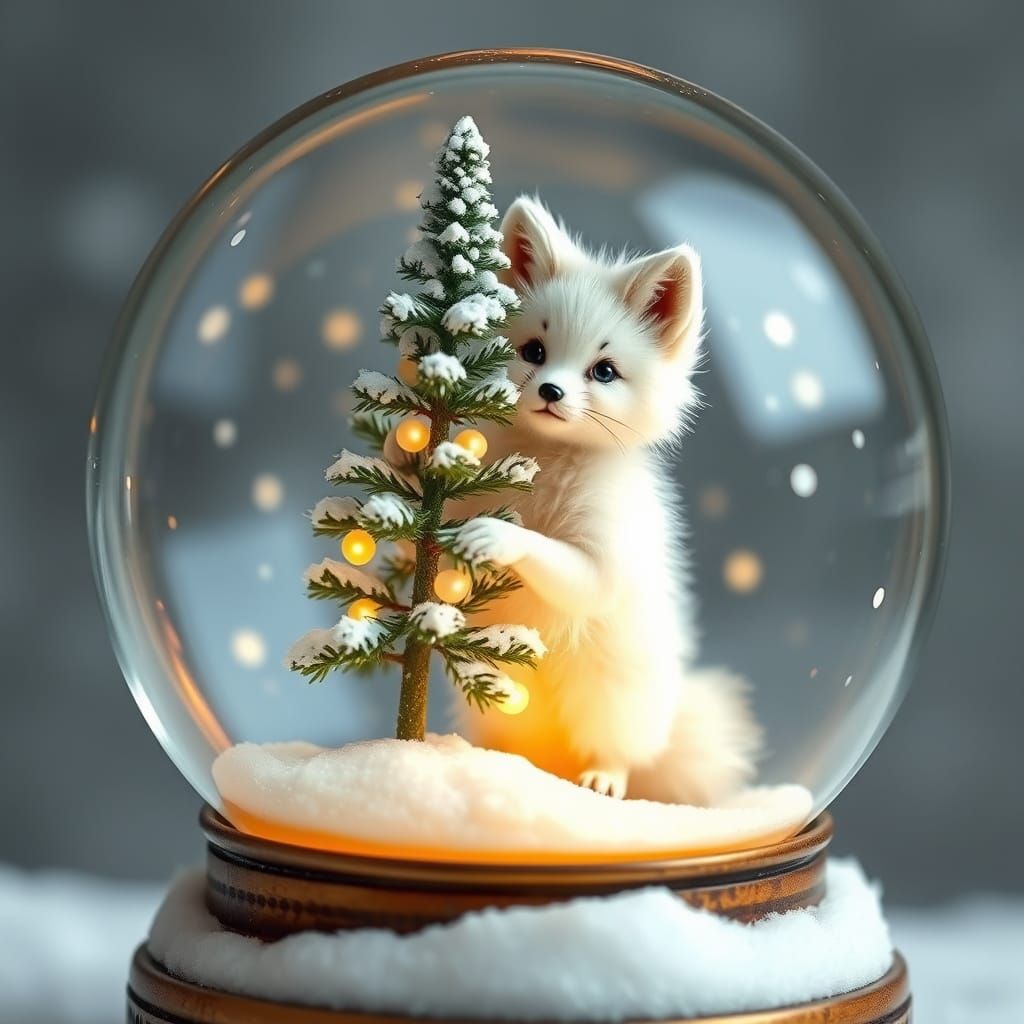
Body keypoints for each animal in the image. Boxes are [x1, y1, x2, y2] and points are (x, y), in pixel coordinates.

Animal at [392, 195, 761, 802]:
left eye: (604, 371)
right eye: (534, 351)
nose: (551, 391)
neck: (550, 458)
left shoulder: (603, 551)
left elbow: (571, 567)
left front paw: (501, 536)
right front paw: (405, 446)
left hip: (611, 694)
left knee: (621, 749)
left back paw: (602, 778)